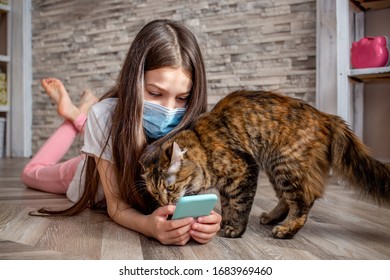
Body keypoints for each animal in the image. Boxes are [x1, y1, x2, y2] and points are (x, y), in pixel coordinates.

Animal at [141, 90, 390, 238]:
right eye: (155, 193)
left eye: (170, 187)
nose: (164, 203)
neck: (203, 146)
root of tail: (326, 116)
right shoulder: (232, 182)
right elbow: (228, 204)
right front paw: (224, 223)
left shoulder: (244, 170)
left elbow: (238, 205)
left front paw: (235, 229)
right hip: (274, 167)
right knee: (286, 199)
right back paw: (271, 217)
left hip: (286, 164)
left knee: (304, 201)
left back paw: (286, 229)